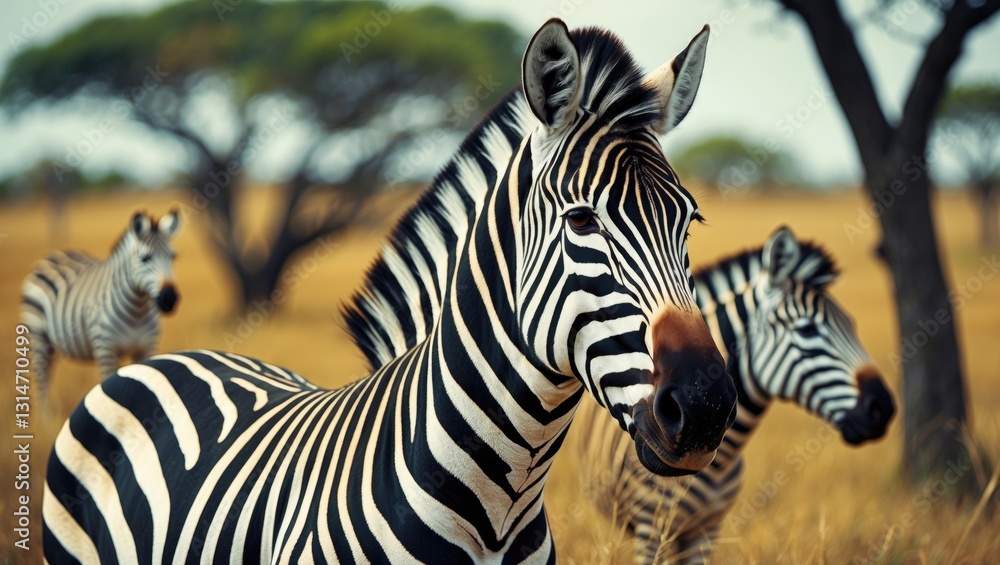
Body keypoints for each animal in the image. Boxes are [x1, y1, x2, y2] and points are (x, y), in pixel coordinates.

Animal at [21, 209, 181, 396]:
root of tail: (53, 254)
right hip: (37, 335)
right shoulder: (105, 350)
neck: (137, 312)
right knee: (42, 384)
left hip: (52, 344)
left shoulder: (147, 348)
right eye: (145, 258)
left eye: (173, 257)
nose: (169, 298)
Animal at [575, 226, 896, 564]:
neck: (720, 457)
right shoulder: (652, 527)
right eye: (807, 329)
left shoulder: (706, 529)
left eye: (852, 324)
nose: (883, 407)